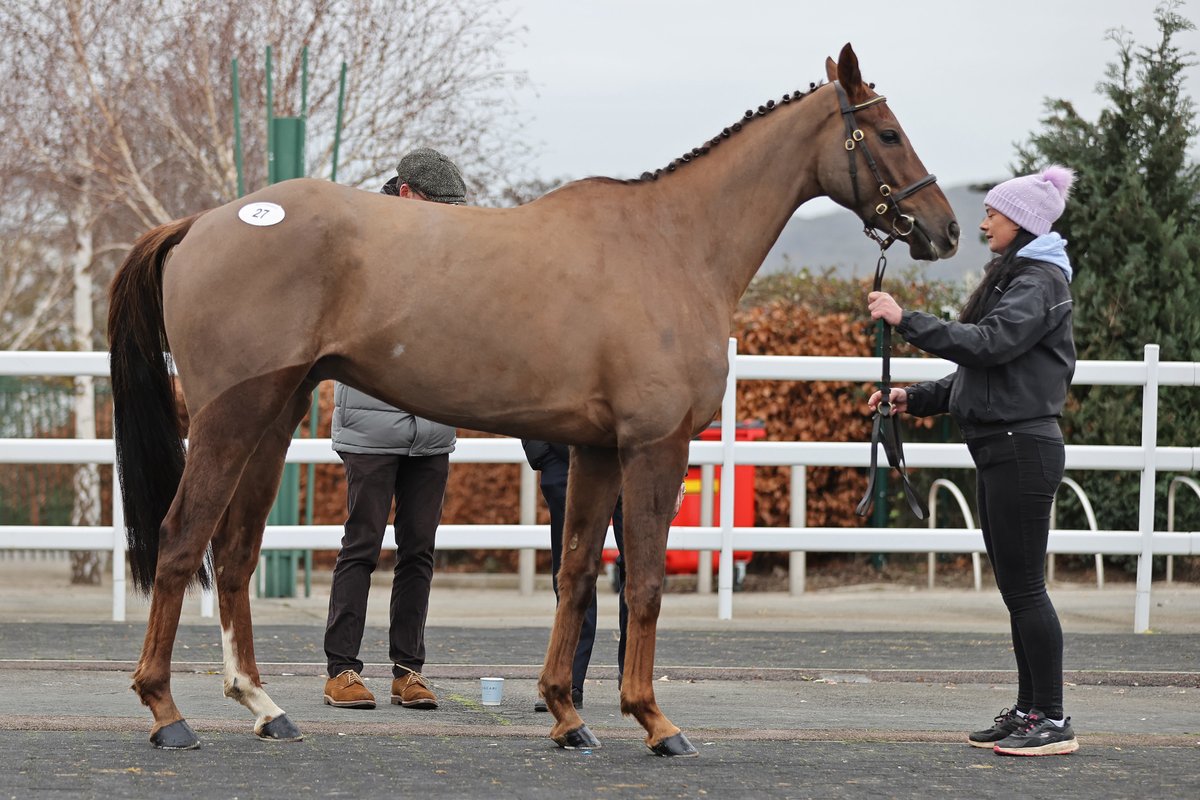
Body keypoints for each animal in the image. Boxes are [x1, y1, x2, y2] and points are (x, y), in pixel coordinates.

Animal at [110, 45, 955, 758]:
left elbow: (577, 572)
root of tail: (203, 223)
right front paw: (655, 721)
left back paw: (261, 705)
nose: (943, 229)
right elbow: (644, 580)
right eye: (887, 131)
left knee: (235, 549)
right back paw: (167, 712)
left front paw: (567, 714)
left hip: (274, 417)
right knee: (183, 539)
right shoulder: (655, 446)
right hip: (229, 418)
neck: (673, 245)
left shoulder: (596, 450)